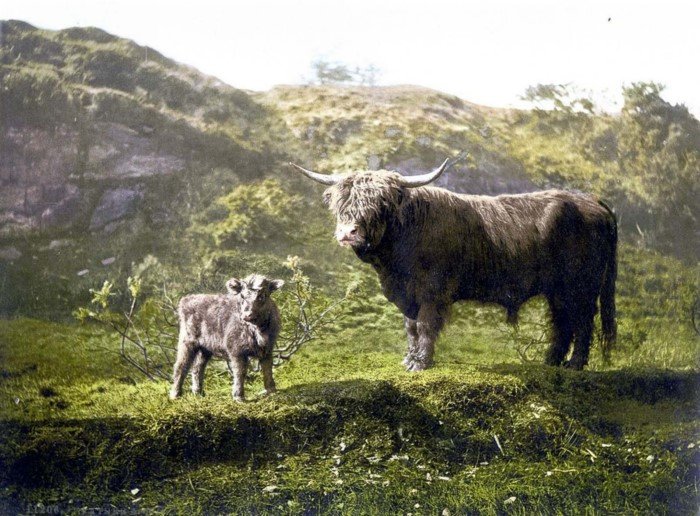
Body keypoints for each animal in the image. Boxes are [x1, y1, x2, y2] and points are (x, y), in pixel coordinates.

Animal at [170, 272, 284, 402]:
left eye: (262, 296)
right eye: (242, 296)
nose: (247, 315)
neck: (258, 330)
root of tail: (187, 299)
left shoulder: (267, 349)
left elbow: (267, 368)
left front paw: (271, 390)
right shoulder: (236, 350)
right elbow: (240, 371)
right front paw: (239, 396)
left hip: (205, 347)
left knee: (198, 367)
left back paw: (198, 392)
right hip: (187, 342)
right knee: (181, 365)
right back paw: (175, 395)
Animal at [292, 157, 616, 370]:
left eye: (379, 205)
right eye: (342, 204)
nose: (348, 233)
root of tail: (592, 202)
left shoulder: (432, 292)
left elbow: (425, 325)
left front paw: (421, 363)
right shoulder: (406, 295)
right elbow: (410, 327)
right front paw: (409, 359)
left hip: (582, 286)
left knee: (582, 320)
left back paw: (574, 365)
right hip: (558, 290)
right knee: (562, 321)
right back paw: (550, 362)